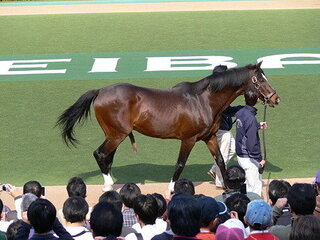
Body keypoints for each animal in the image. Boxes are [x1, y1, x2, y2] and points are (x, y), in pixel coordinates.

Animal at [57, 62, 280, 191]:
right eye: (261, 79)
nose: (275, 99)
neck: (203, 100)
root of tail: (101, 91)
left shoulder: (209, 137)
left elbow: (220, 161)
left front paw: (228, 187)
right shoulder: (188, 139)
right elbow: (180, 164)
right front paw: (171, 189)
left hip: (114, 135)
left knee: (107, 158)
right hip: (116, 135)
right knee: (100, 154)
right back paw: (109, 185)